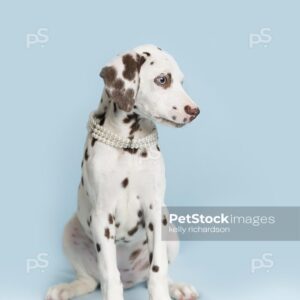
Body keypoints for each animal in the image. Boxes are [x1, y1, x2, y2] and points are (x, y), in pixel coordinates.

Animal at [45, 44, 200, 300]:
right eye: (162, 80)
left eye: (181, 82)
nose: (195, 110)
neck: (129, 145)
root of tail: (132, 278)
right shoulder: (102, 216)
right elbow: (110, 276)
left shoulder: (154, 210)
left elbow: (158, 270)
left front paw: (162, 293)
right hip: (70, 232)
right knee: (90, 280)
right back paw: (66, 288)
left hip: (170, 228)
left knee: (156, 273)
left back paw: (177, 287)